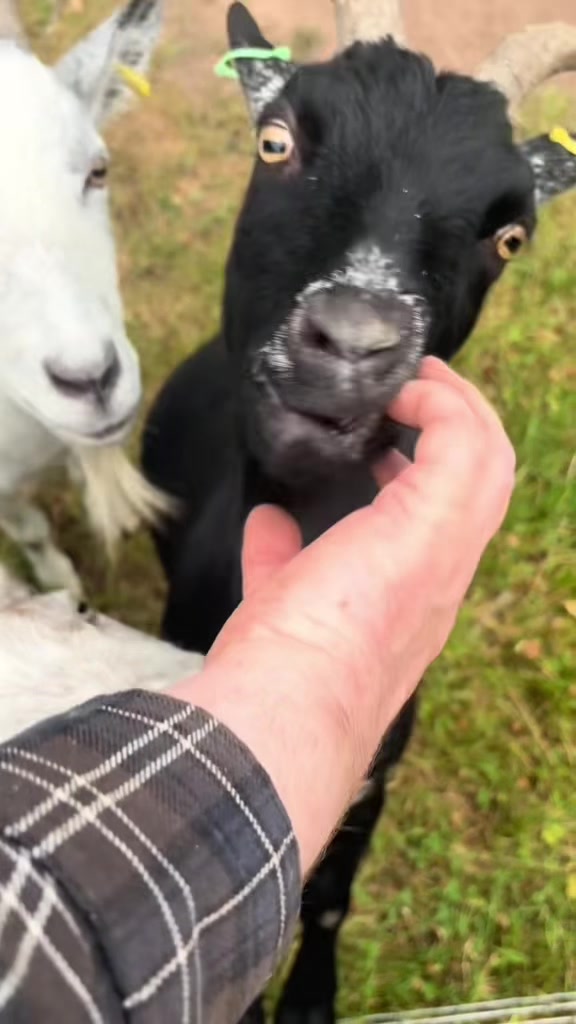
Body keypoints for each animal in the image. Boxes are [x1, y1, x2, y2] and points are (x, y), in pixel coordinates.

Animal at [142, 3, 576, 1022]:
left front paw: (310, 999)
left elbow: (333, 895)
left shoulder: (381, 756)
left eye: (511, 236)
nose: (350, 345)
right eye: (276, 141)